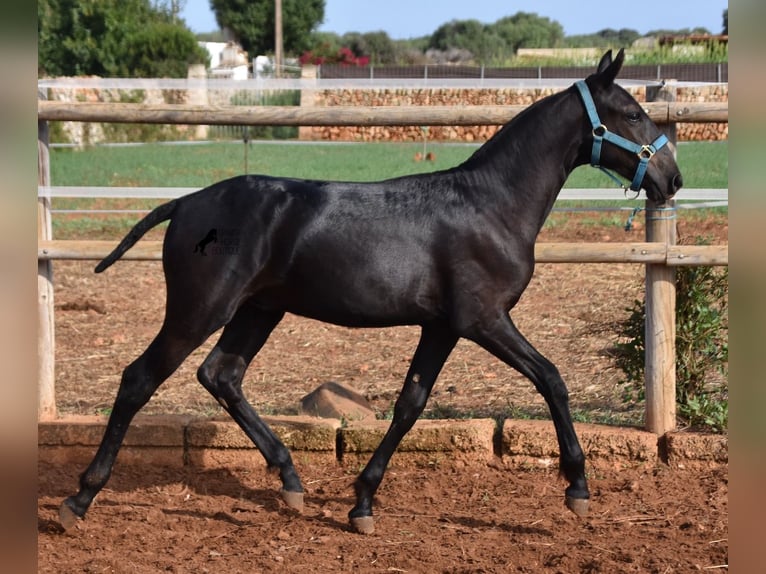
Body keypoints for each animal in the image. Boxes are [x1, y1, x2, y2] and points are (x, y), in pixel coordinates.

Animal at [60, 49, 684, 536]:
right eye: (631, 112)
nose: (672, 179)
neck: (489, 204)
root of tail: (186, 202)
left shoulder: (442, 327)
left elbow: (410, 404)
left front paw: (362, 501)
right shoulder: (483, 319)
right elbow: (551, 378)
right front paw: (577, 488)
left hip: (258, 310)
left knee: (221, 374)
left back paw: (291, 480)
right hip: (200, 309)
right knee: (140, 379)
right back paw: (79, 498)